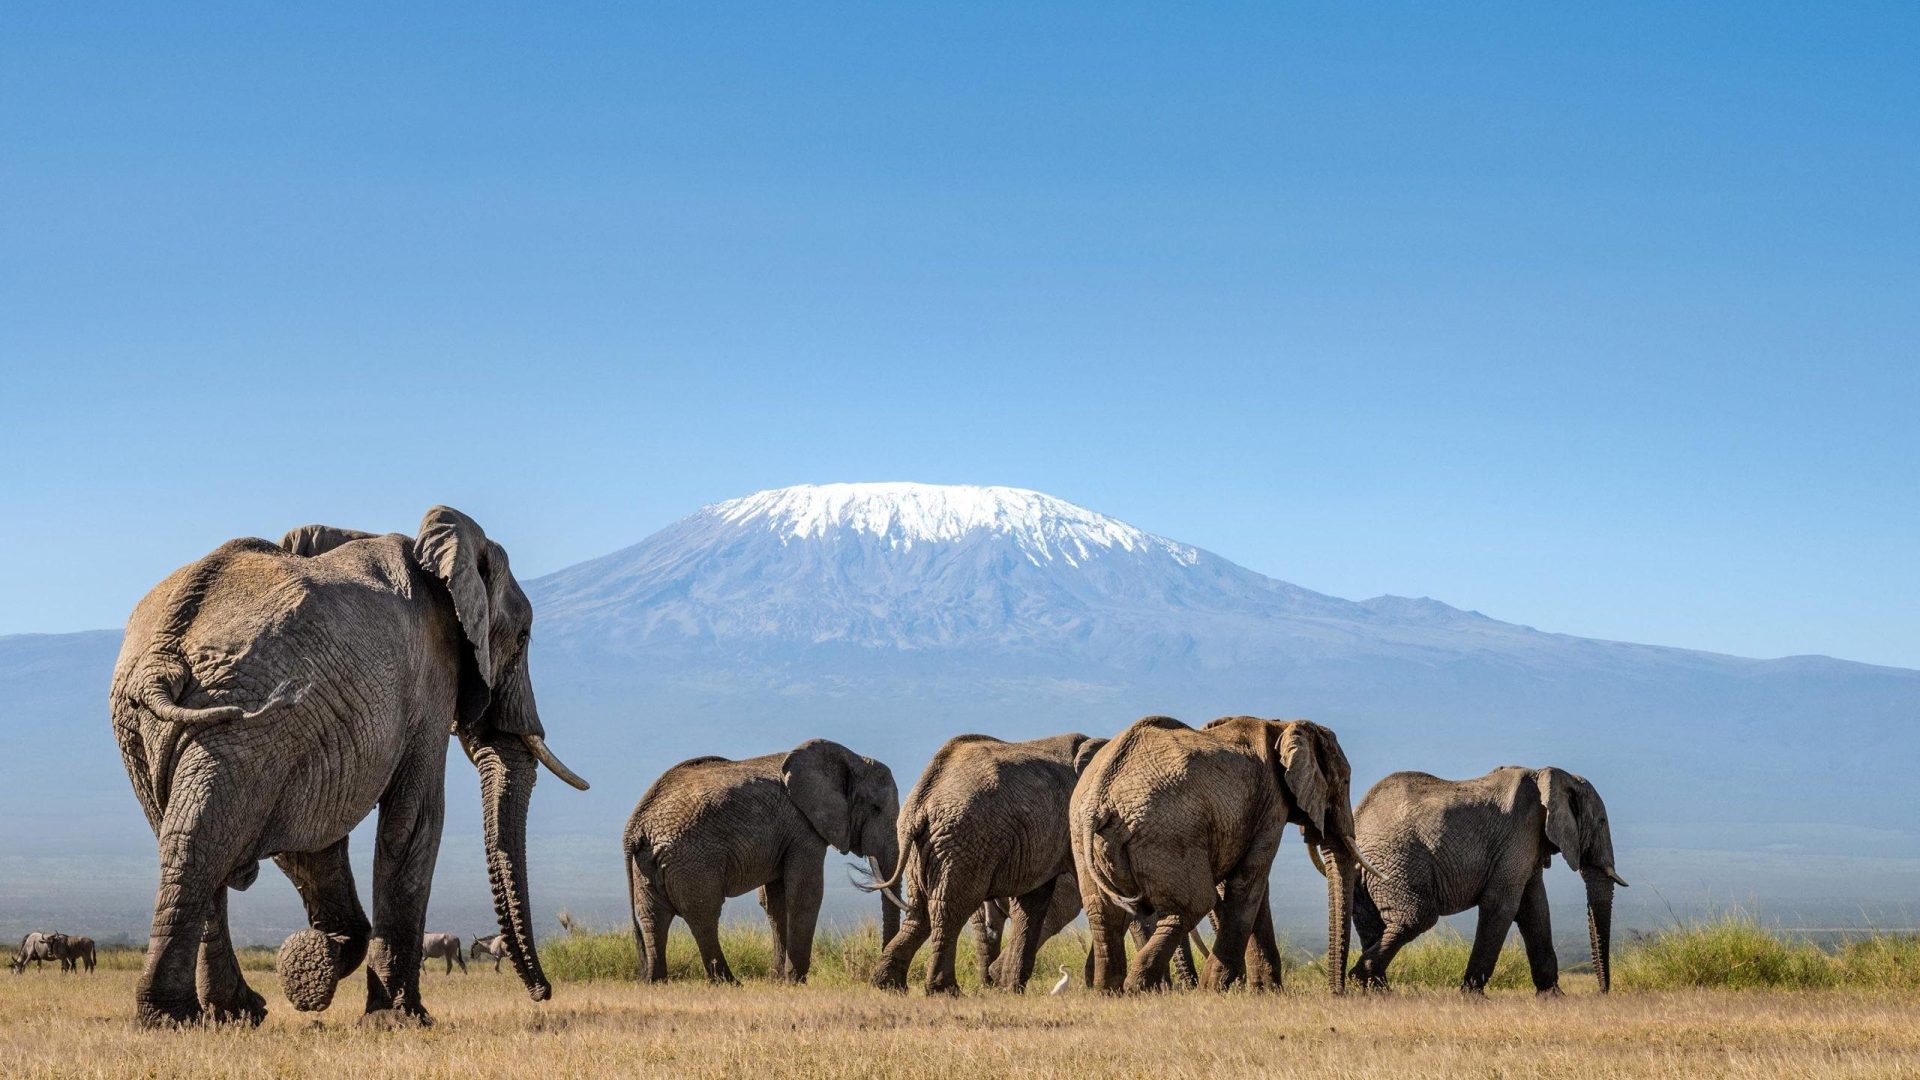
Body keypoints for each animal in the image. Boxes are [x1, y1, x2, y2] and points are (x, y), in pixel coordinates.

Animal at [109, 507, 589, 1027]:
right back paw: (180, 1017)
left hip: (162, 729)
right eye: (523, 638)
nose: (543, 993)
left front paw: (314, 965)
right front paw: (399, 1018)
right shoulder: (428, 678)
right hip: (235, 719)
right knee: (202, 838)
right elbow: (415, 818)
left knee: (188, 836)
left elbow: (310, 841)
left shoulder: (312, 728)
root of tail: (163, 653)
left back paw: (230, 1013)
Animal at [624, 739, 900, 984]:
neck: (850, 757)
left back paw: (655, 980)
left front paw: (778, 980)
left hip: (648, 864)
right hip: (692, 859)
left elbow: (776, 902)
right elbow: (806, 893)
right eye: (876, 808)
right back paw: (729, 982)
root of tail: (635, 827)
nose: (878, 979)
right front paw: (795, 981)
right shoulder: (802, 827)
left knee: (652, 917)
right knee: (704, 915)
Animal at [871, 732, 1105, 994]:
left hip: (924, 846)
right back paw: (946, 991)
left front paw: (1013, 990)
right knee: (951, 908)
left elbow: (1032, 903)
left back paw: (888, 984)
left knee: (920, 911)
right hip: (965, 840)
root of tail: (922, 798)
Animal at [1071, 715, 1370, 994]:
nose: (1338, 992)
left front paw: (1264, 991)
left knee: (1103, 912)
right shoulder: (1271, 804)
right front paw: (1218, 989)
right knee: (1192, 904)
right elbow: (1250, 880)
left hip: (1084, 837)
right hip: (1169, 831)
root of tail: (1101, 794)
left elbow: (1251, 887)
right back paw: (1139, 987)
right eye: (1344, 780)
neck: (1282, 724)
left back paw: (1109, 991)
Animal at [1350, 766, 1628, 994]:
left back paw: (1376, 989)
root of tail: (1358, 818)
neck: (1551, 774)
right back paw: (1359, 979)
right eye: (1602, 821)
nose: (1602, 992)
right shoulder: (1521, 833)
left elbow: (1535, 909)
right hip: (1396, 861)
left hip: (1370, 871)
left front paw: (1553, 996)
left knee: (1372, 923)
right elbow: (1502, 904)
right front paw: (1471, 995)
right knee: (1416, 917)